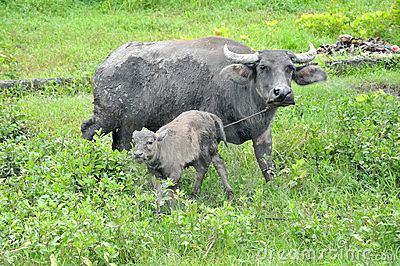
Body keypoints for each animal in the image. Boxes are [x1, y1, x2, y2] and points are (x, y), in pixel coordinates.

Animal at [80, 35, 324, 183]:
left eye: (289, 68)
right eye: (263, 67)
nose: (282, 93)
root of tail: (105, 64)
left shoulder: (263, 132)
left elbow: (266, 163)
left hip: (128, 125)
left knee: (120, 147)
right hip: (107, 117)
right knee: (87, 130)